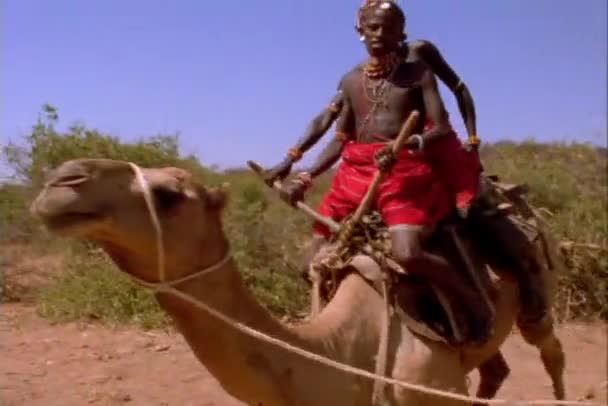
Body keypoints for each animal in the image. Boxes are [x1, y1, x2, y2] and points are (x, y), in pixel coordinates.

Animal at [30, 159, 568, 406]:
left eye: (169, 196)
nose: (62, 181)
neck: (346, 351)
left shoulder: (432, 389)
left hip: (534, 277)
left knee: (548, 346)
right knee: (494, 366)